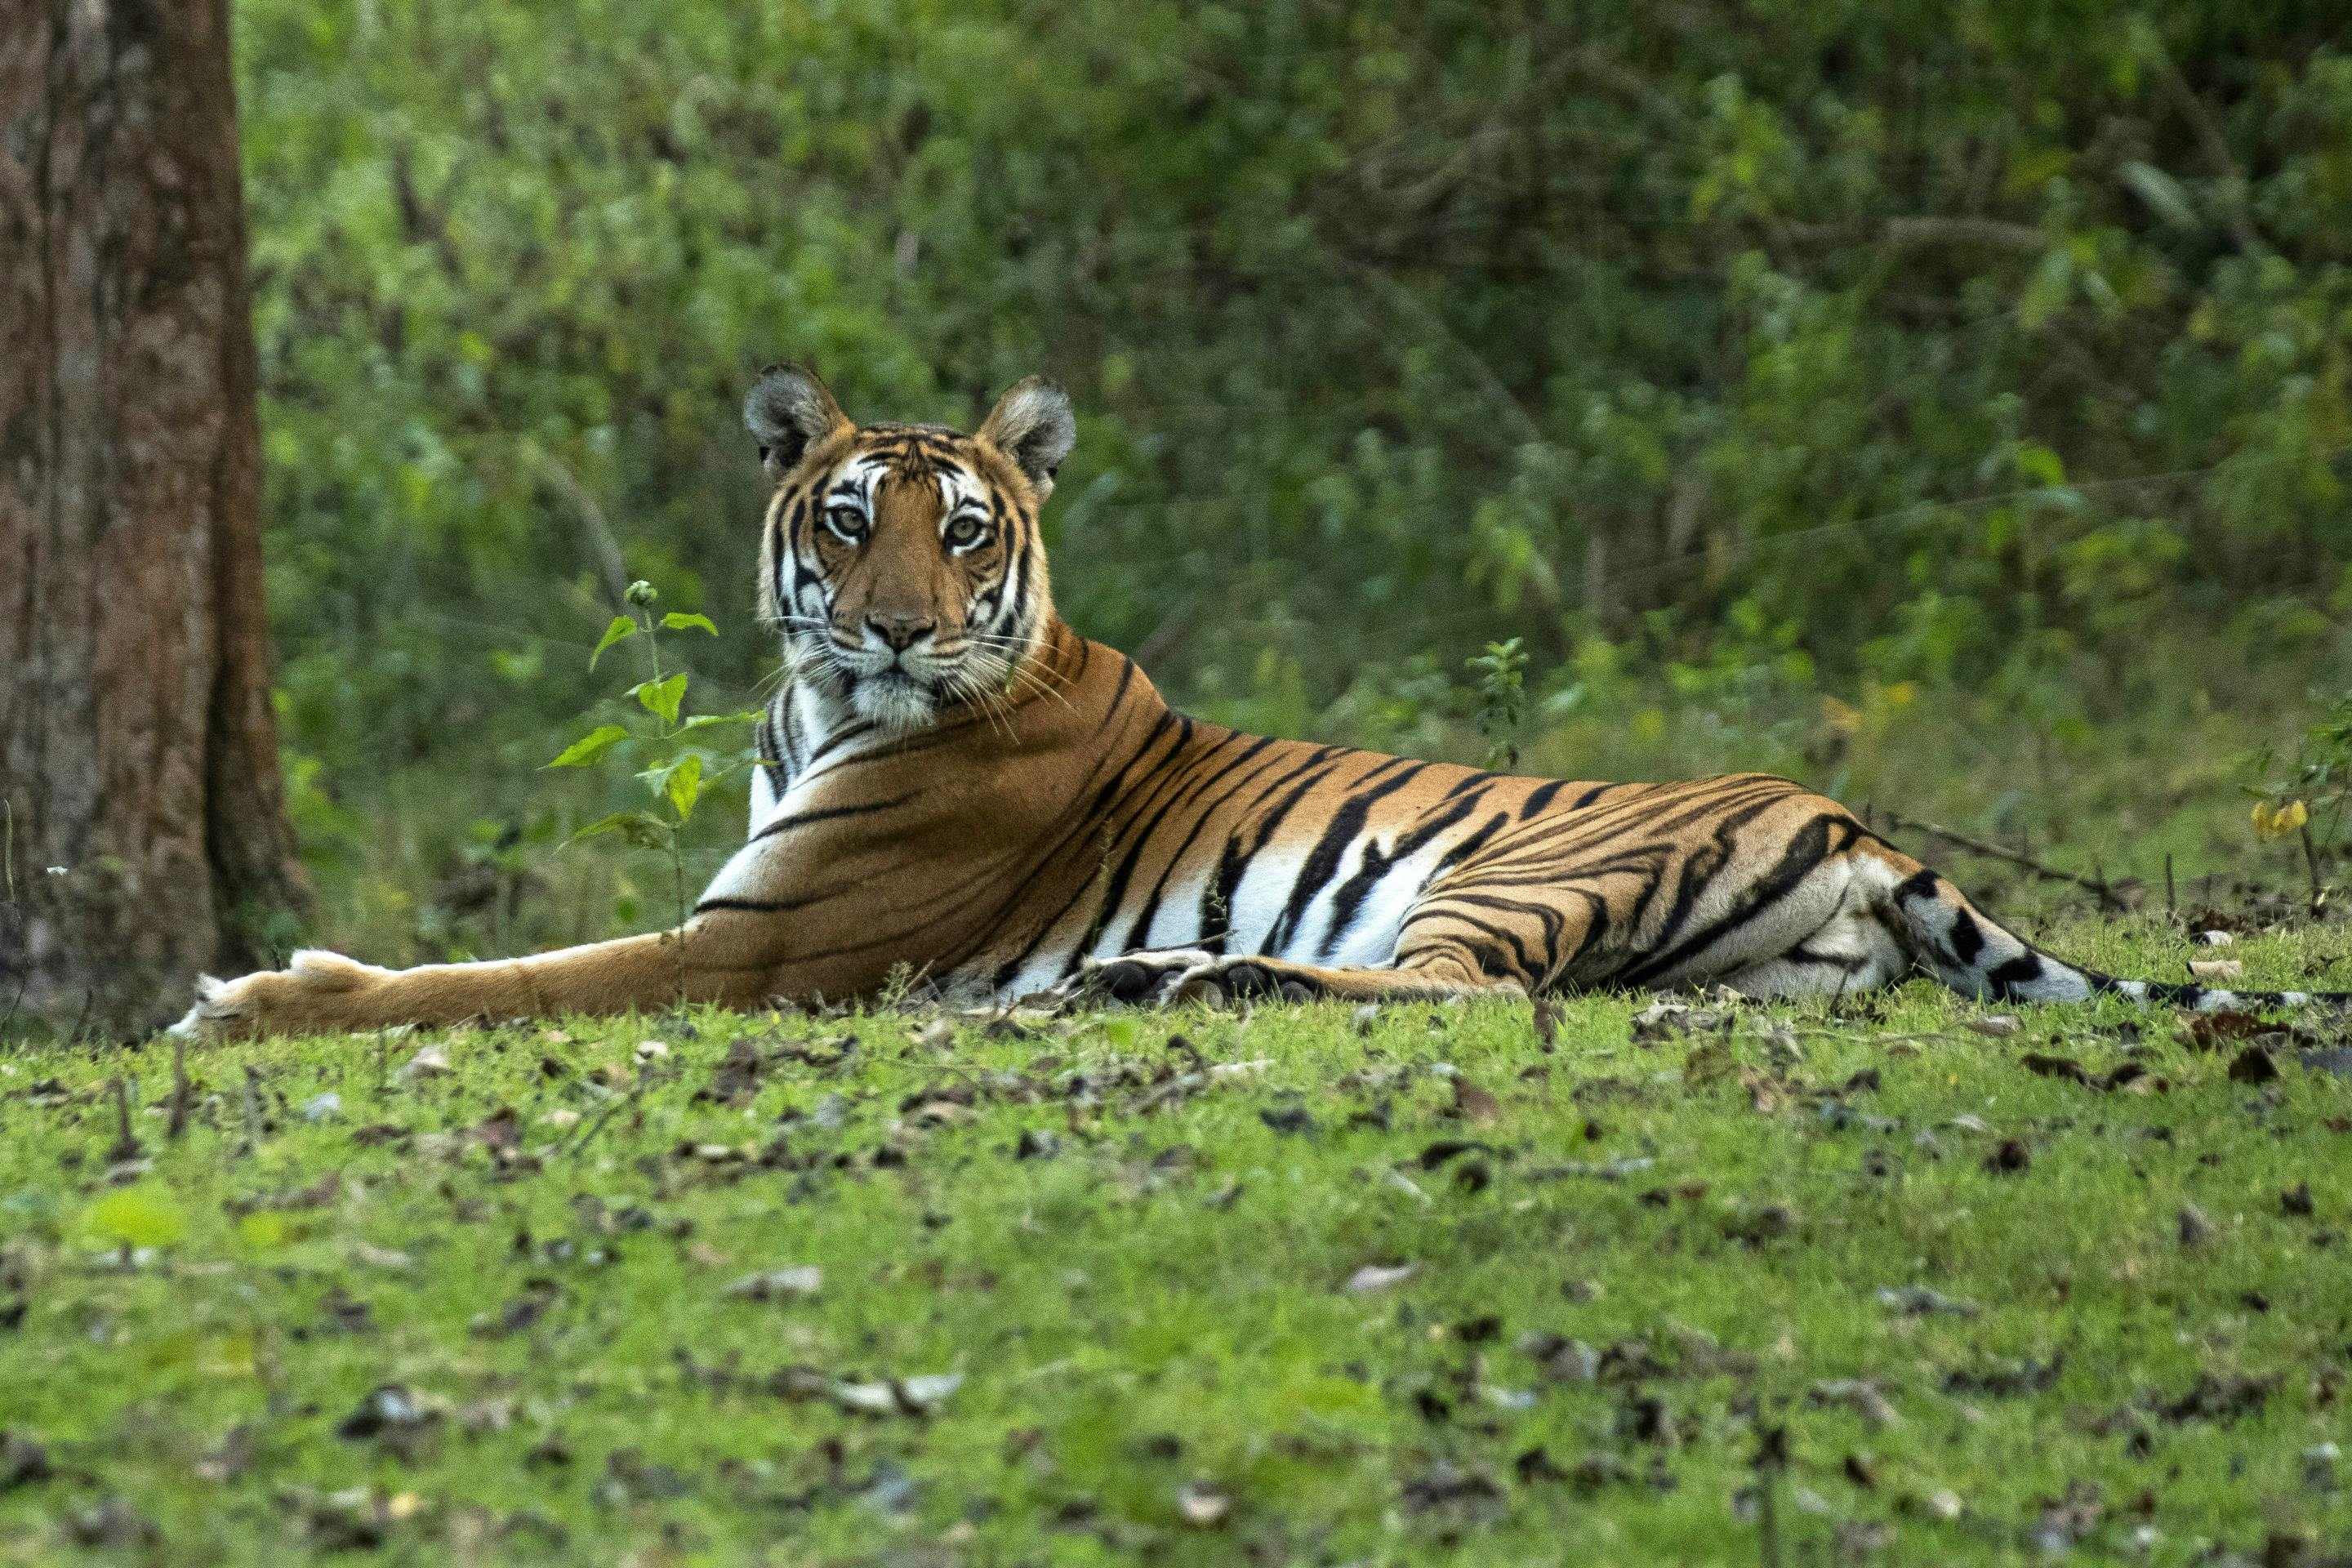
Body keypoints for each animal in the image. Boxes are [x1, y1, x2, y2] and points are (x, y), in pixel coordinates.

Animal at [177, 365, 2343, 1039]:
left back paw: (1168, 981)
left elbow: (496, 977)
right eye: (854, 521)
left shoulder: (750, 952)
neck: (825, 713)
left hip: (1497, 871)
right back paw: (1145, 980)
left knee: (1458, 998)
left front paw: (254, 998)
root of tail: (1853, 822)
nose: (895, 633)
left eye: (966, 531)